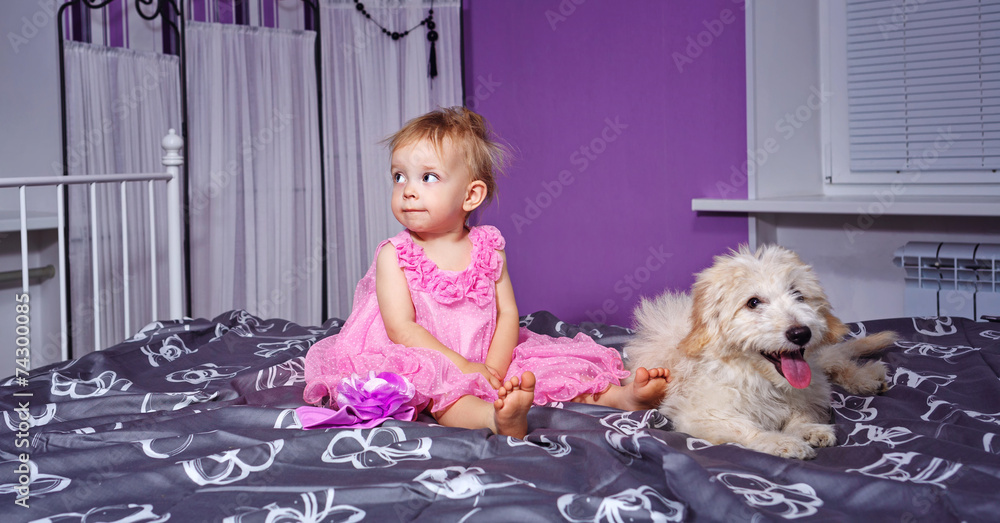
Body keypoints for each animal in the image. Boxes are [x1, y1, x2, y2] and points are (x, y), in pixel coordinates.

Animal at [624, 245, 900, 458]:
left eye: (798, 294)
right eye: (753, 302)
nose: (800, 333)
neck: (762, 379)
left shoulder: (809, 392)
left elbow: (804, 411)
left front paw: (808, 429)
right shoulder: (700, 414)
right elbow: (743, 427)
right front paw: (780, 441)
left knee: (835, 360)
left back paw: (866, 379)